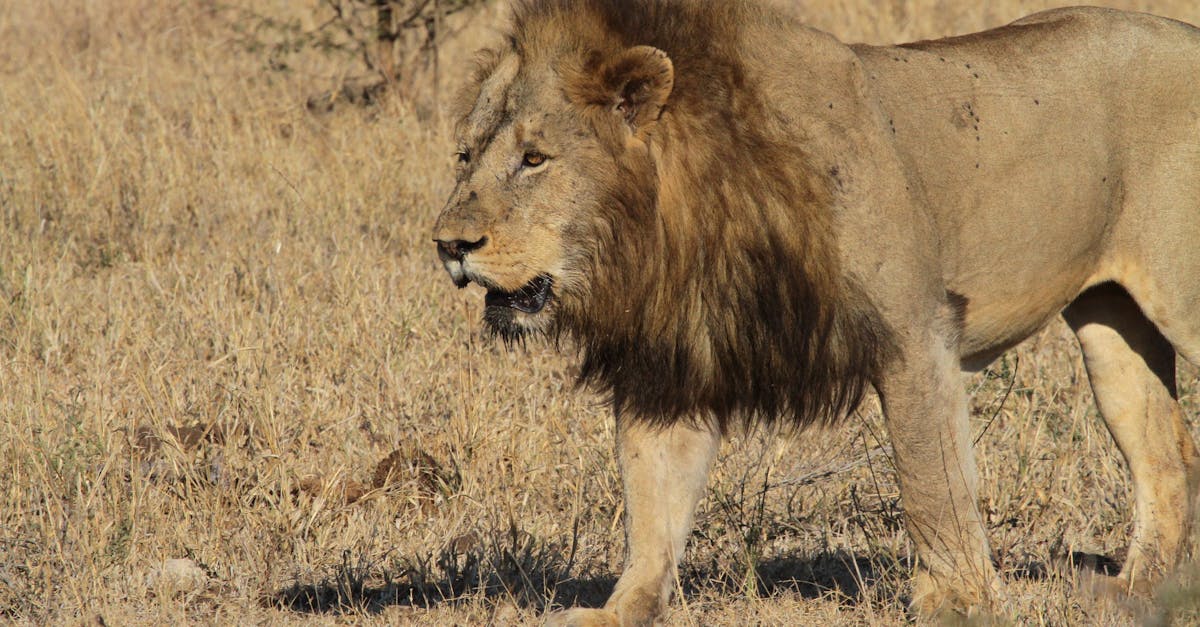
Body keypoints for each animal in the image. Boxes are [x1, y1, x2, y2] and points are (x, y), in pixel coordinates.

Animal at [432, 0, 1200, 622]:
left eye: (535, 158)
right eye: (465, 155)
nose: (448, 244)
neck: (671, 223)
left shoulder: (915, 333)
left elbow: (933, 482)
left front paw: (960, 602)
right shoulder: (673, 362)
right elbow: (652, 504)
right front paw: (620, 609)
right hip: (1110, 322)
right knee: (1162, 453)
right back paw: (1133, 594)